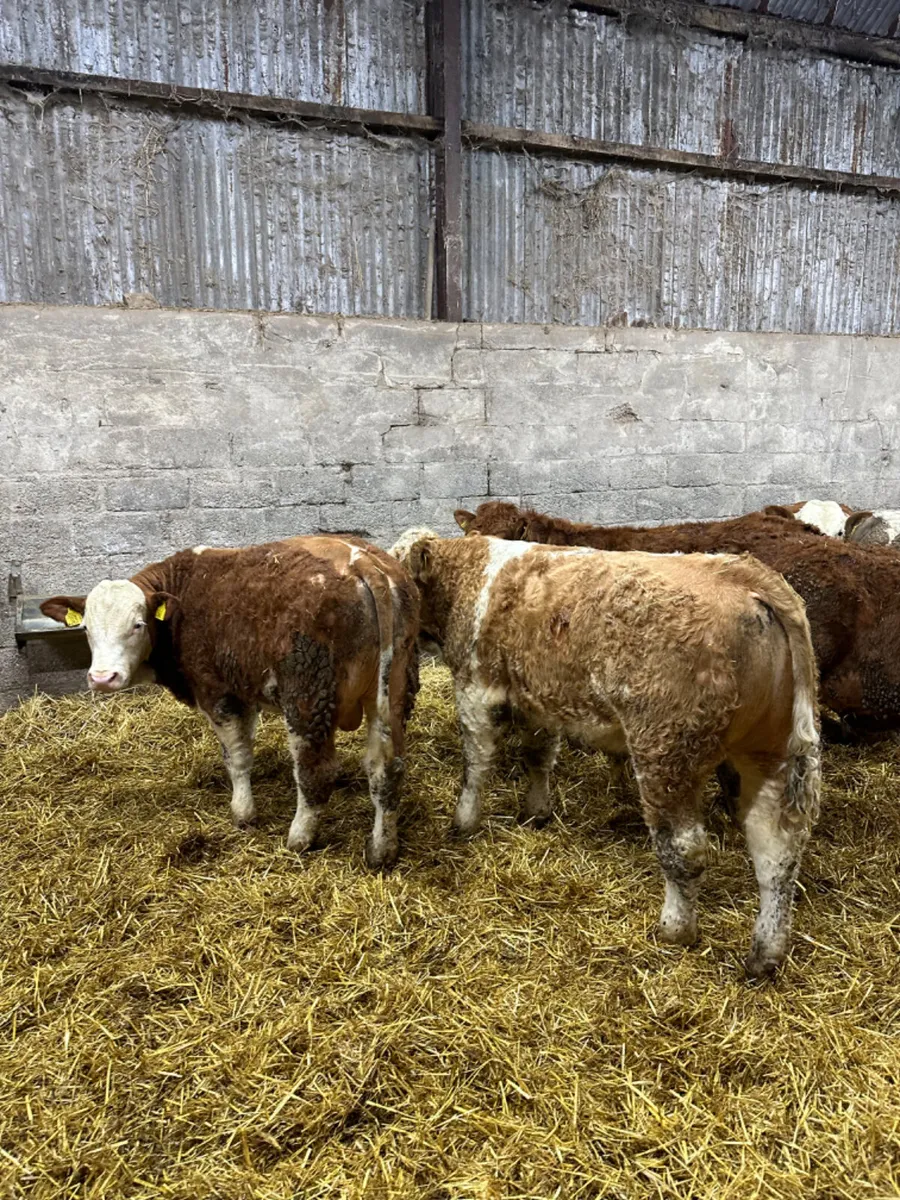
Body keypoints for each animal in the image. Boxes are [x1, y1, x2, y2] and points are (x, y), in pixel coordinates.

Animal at [39, 536, 420, 869]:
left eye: (138, 624)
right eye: (85, 629)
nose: (103, 677)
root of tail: (361, 561)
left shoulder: (216, 692)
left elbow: (236, 756)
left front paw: (243, 812)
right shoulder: (243, 692)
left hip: (307, 695)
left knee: (315, 771)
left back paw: (299, 837)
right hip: (395, 688)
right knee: (386, 768)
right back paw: (382, 849)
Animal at [391, 530, 820, 979]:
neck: (469, 575)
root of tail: (744, 577)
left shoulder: (476, 688)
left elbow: (475, 763)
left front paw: (464, 821)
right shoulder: (538, 697)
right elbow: (538, 754)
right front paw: (536, 811)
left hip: (667, 754)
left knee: (685, 848)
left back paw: (676, 929)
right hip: (771, 755)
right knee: (777, 850)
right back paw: (765, 954)